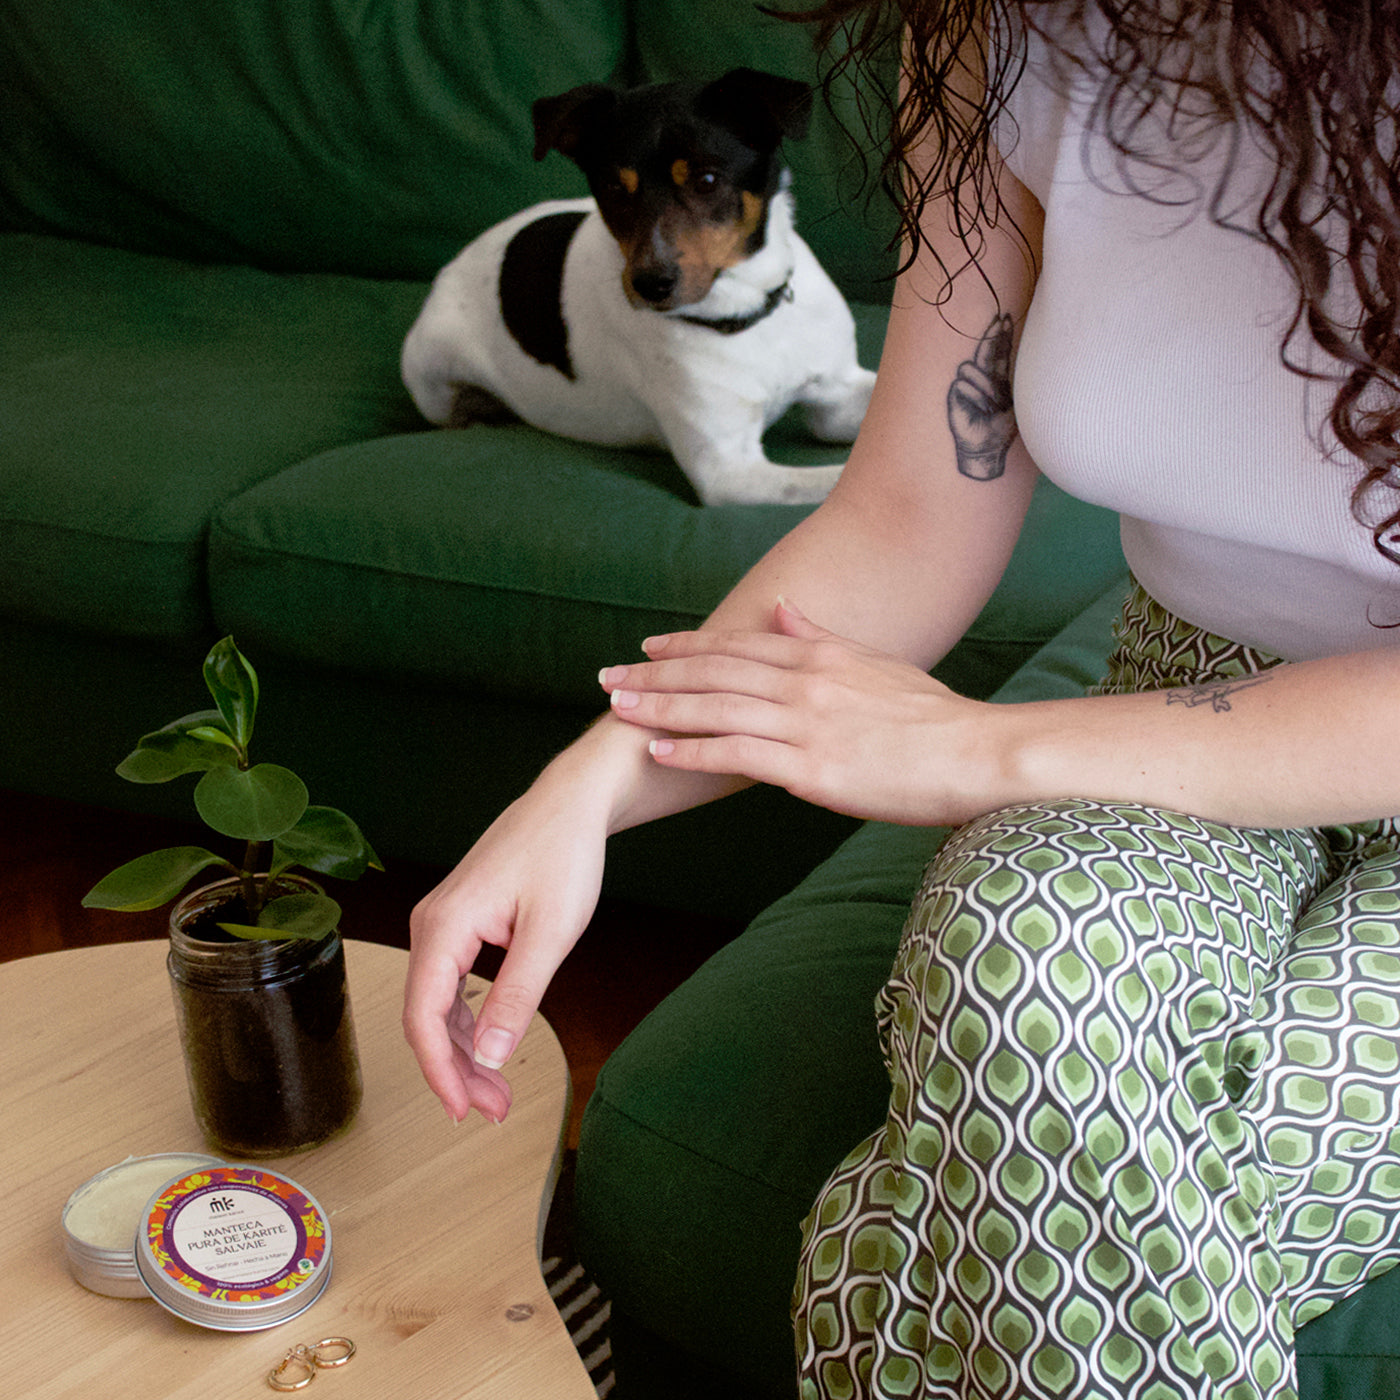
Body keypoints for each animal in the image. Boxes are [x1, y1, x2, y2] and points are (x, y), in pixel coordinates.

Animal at [397, 69, 873, 509]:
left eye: (706, 181)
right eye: (613, 188)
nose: (650, 284)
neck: (744, 313)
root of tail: (454, 265)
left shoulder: (838, 393)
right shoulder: (728, 470)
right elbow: (836, 479)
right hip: (431, 378)